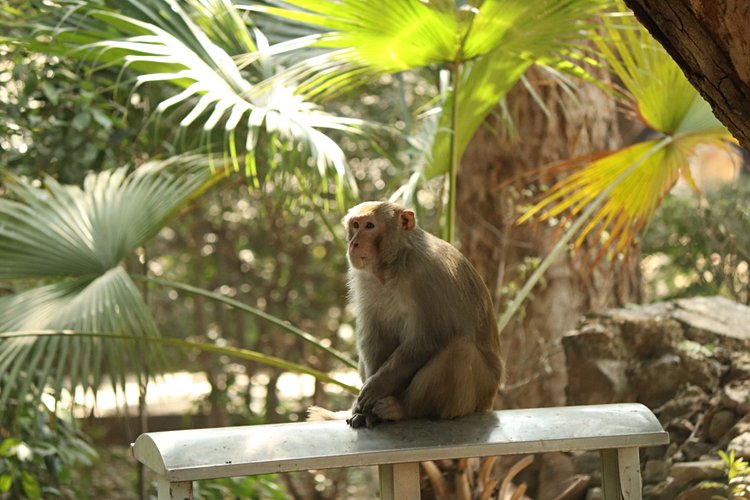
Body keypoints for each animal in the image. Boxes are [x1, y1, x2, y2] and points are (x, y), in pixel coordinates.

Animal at [312, 201, 506, 428]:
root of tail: (489, 401)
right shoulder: (365, 279)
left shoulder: (430, 276)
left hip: (479, 394)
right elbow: (375, 335)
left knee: (460, 349)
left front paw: (377, 386)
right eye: (355, 225)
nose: (354, 243)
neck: (395, 263)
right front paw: (364, 407)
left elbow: (429, 339)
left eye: (369, 226)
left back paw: (403, 409)